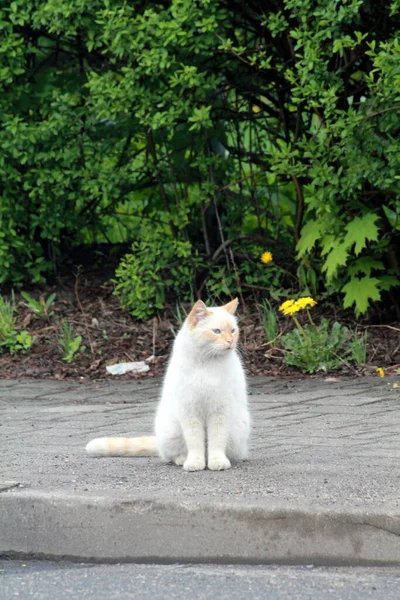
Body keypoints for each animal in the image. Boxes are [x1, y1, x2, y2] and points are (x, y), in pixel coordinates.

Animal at [85, 298, 250, 472]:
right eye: (216, 331)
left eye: (233, 330)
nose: (231, 341)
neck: (206, 363)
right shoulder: (189, 411)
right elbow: (195, 441)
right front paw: (195, 462)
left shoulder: (220, 411)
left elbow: (217, 440)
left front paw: (217, 461)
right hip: (171, 430)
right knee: (172, 454)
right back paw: (182, 459)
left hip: (237, 431)